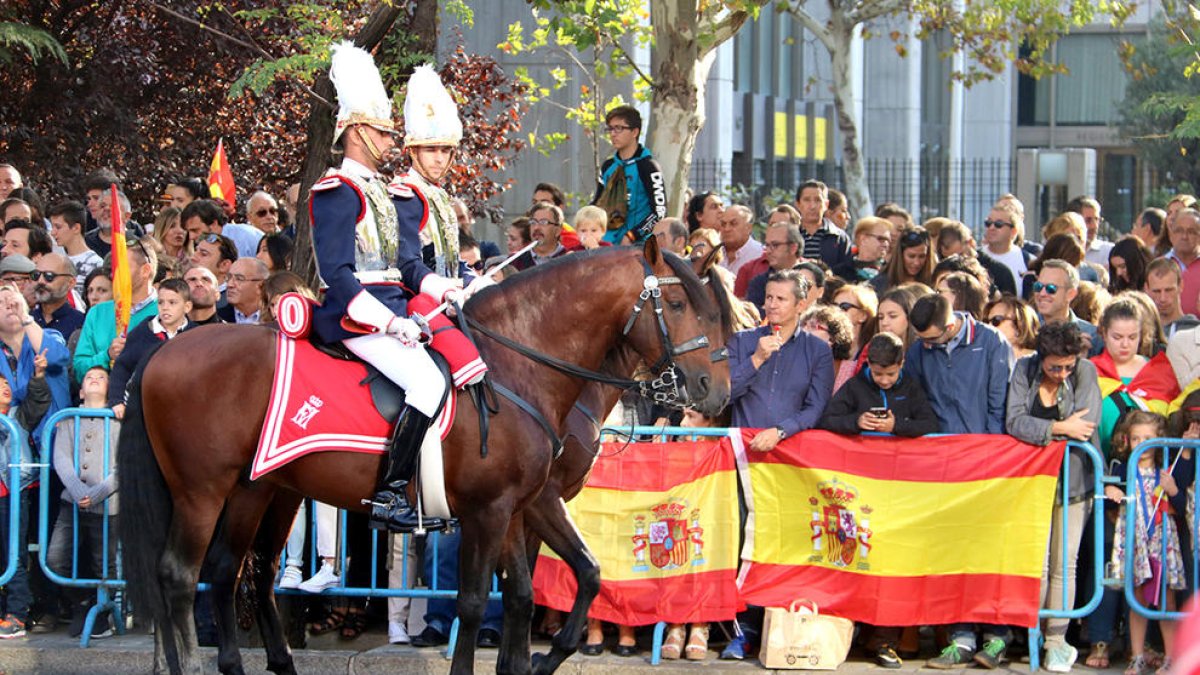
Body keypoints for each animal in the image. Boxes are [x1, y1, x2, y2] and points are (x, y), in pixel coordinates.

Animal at [119, 239, 729, 667]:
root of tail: (165, 350)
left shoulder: (520, 507)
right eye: (679, 302)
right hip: (203, 491)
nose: (714, 391)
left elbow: (551, 586)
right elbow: (478, 601)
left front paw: (536, 660)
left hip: (262, 488)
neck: (519, 364)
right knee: (181, 575)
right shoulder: (494, 510)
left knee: (238, 571)